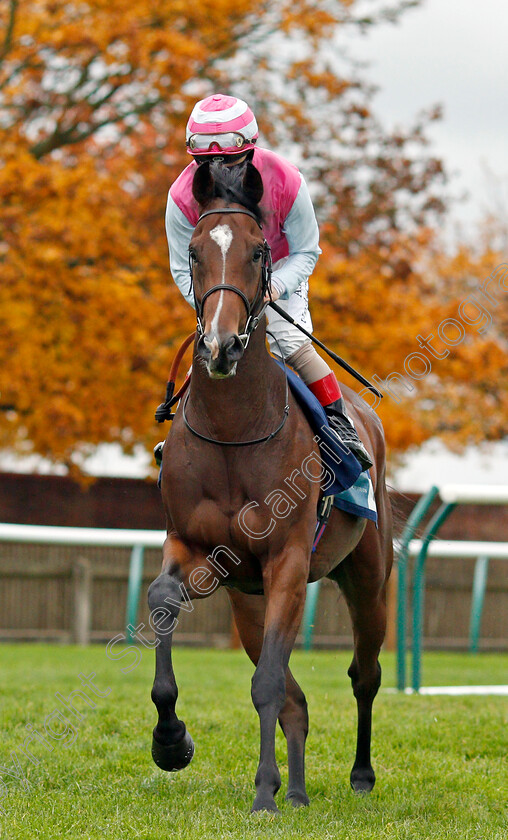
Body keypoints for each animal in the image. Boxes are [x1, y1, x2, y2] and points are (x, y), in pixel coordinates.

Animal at [147, 159, 392, 812]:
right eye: (195, 251)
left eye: (259, 251)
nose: (221, 344)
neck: (234, 432)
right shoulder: (192, 546)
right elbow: (161, 602)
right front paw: (171, 742)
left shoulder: (286, 560)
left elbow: (267, 685)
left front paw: (262, 794)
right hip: (246, 602)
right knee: (296, 698)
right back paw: (299, 788)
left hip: (367, 578)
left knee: (363, 675)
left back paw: (359, 775)